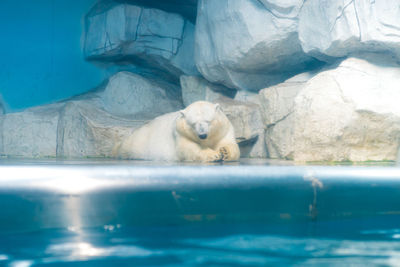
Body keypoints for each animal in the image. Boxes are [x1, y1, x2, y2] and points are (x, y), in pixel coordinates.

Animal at [114, 101, 242, 162]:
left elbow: (229, 144)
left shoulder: (224, 129)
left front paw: (224, 152)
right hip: (138, 142)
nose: (202, 135)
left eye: (208, 121)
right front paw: (214, 155)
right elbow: (189, 148)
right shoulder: (180, 132)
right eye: (193, 124)